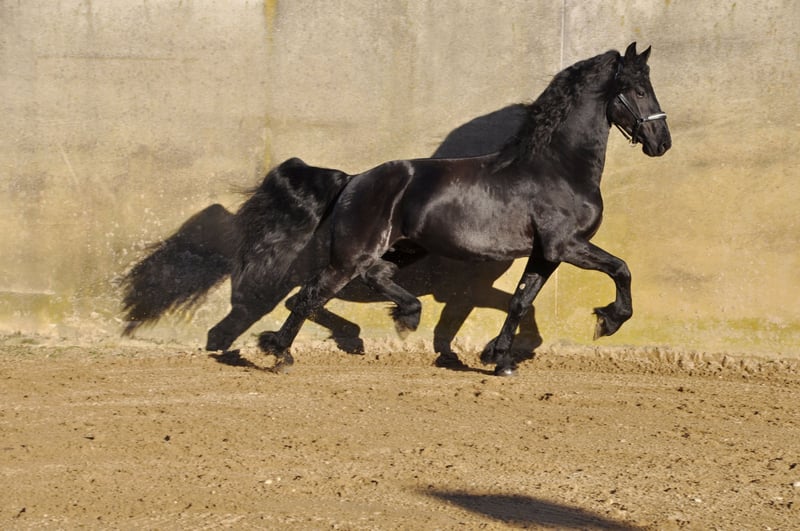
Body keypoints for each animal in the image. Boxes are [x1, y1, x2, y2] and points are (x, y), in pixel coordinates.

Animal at [254, 42, 671, 376]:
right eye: (639, 89)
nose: (662, 143)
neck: (558, 167)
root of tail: (354, 179)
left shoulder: (544, 254)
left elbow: (521, 302)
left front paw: (499, 359)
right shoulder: (565, 245)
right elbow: (621, 269)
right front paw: (608, 320)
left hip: (404, 249)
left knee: (370, 277)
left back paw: (405, 316)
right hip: (353, 254)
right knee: (311, 294)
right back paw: (279, 354)